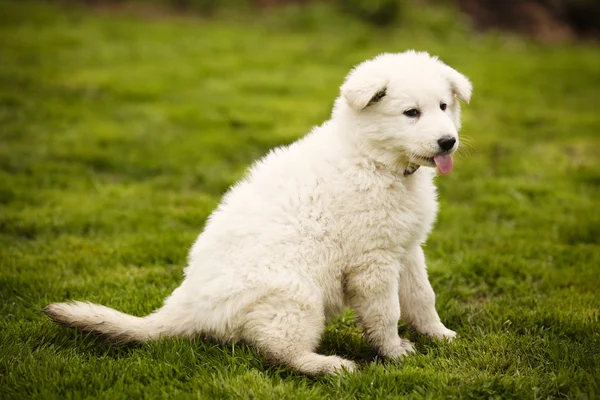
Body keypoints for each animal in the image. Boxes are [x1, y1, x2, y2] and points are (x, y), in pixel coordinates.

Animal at [43, 50, 474, 376]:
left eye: (443, 106)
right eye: (410, 113)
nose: (448, 142)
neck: (376, 161)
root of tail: (188, 305)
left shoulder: (407, 249)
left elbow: (422, 297)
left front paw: (440, 335)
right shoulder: (374, 262)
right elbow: (386, 312)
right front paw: (395, 352)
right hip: (296, 296)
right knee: (276, 351)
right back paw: (328, 366)